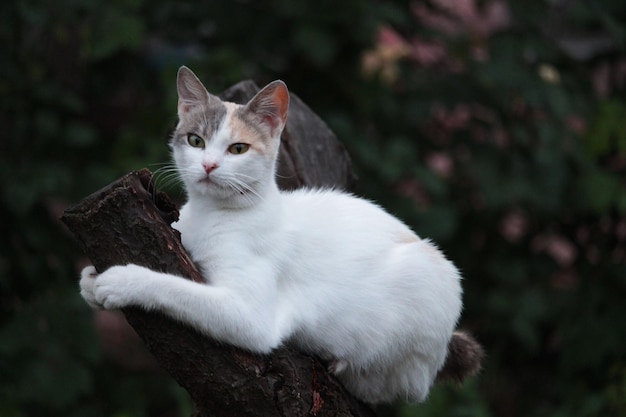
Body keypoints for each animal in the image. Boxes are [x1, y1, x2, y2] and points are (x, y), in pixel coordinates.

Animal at [80, 66, 480, 404]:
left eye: (238, 148)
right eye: (195, 141)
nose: (209, 165)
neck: (213, 213)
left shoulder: (252, 317)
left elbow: (176, 289)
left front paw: (122, 281)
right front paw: (90, 281)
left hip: (423, 285)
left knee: (398, 386)